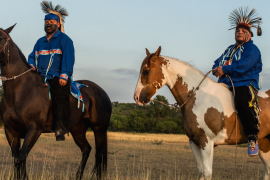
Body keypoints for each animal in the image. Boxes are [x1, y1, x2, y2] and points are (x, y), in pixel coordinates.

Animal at [0, 24, 110, 179]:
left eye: (1, 38)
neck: (19, 91)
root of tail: (102, 92)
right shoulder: (10, 131)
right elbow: (17, 160)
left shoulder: (34, 129)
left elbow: (21, 157)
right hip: (77, 129)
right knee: (86, 149)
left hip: (99, 130)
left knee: (98, 156)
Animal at [135, 46, 270, 180]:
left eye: (146, 71)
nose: (136, 97)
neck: (197, 97)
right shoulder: (194, 142)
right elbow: (200, 171)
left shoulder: (207, 142)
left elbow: (207, 173)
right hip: (264, 144)